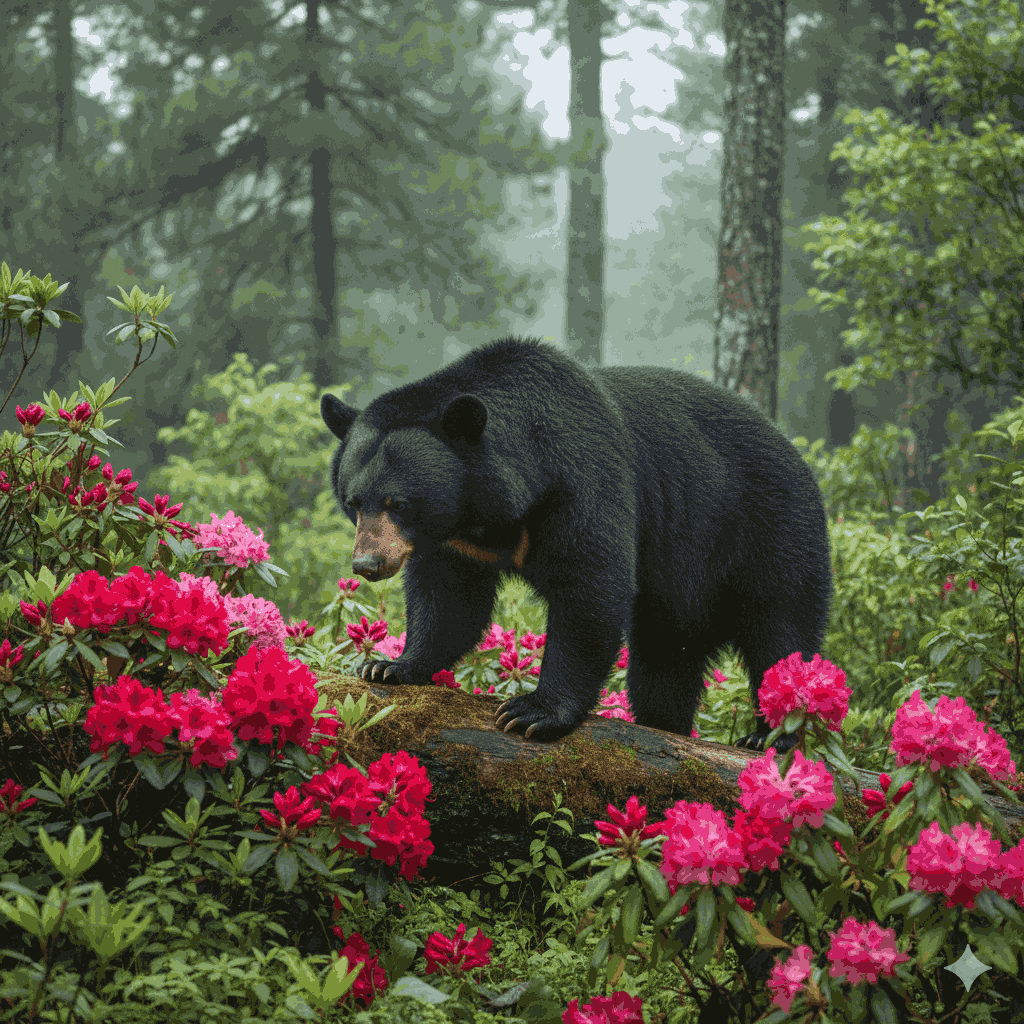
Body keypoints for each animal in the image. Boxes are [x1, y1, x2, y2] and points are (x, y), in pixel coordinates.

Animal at [320, 335, 833, 750]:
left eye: (399, 503)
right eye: (354, 501)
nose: (367, 563)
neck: (486, 512)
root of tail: (798, 455)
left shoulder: (579, 479)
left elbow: (591, 585)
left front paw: (532, 712)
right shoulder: (457, 539)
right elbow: (448, 599)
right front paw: (389, 667)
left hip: (767, 530)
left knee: (781, 631)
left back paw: (770, 733)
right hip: (682, 598)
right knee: (663, 664)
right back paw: (664, 725)